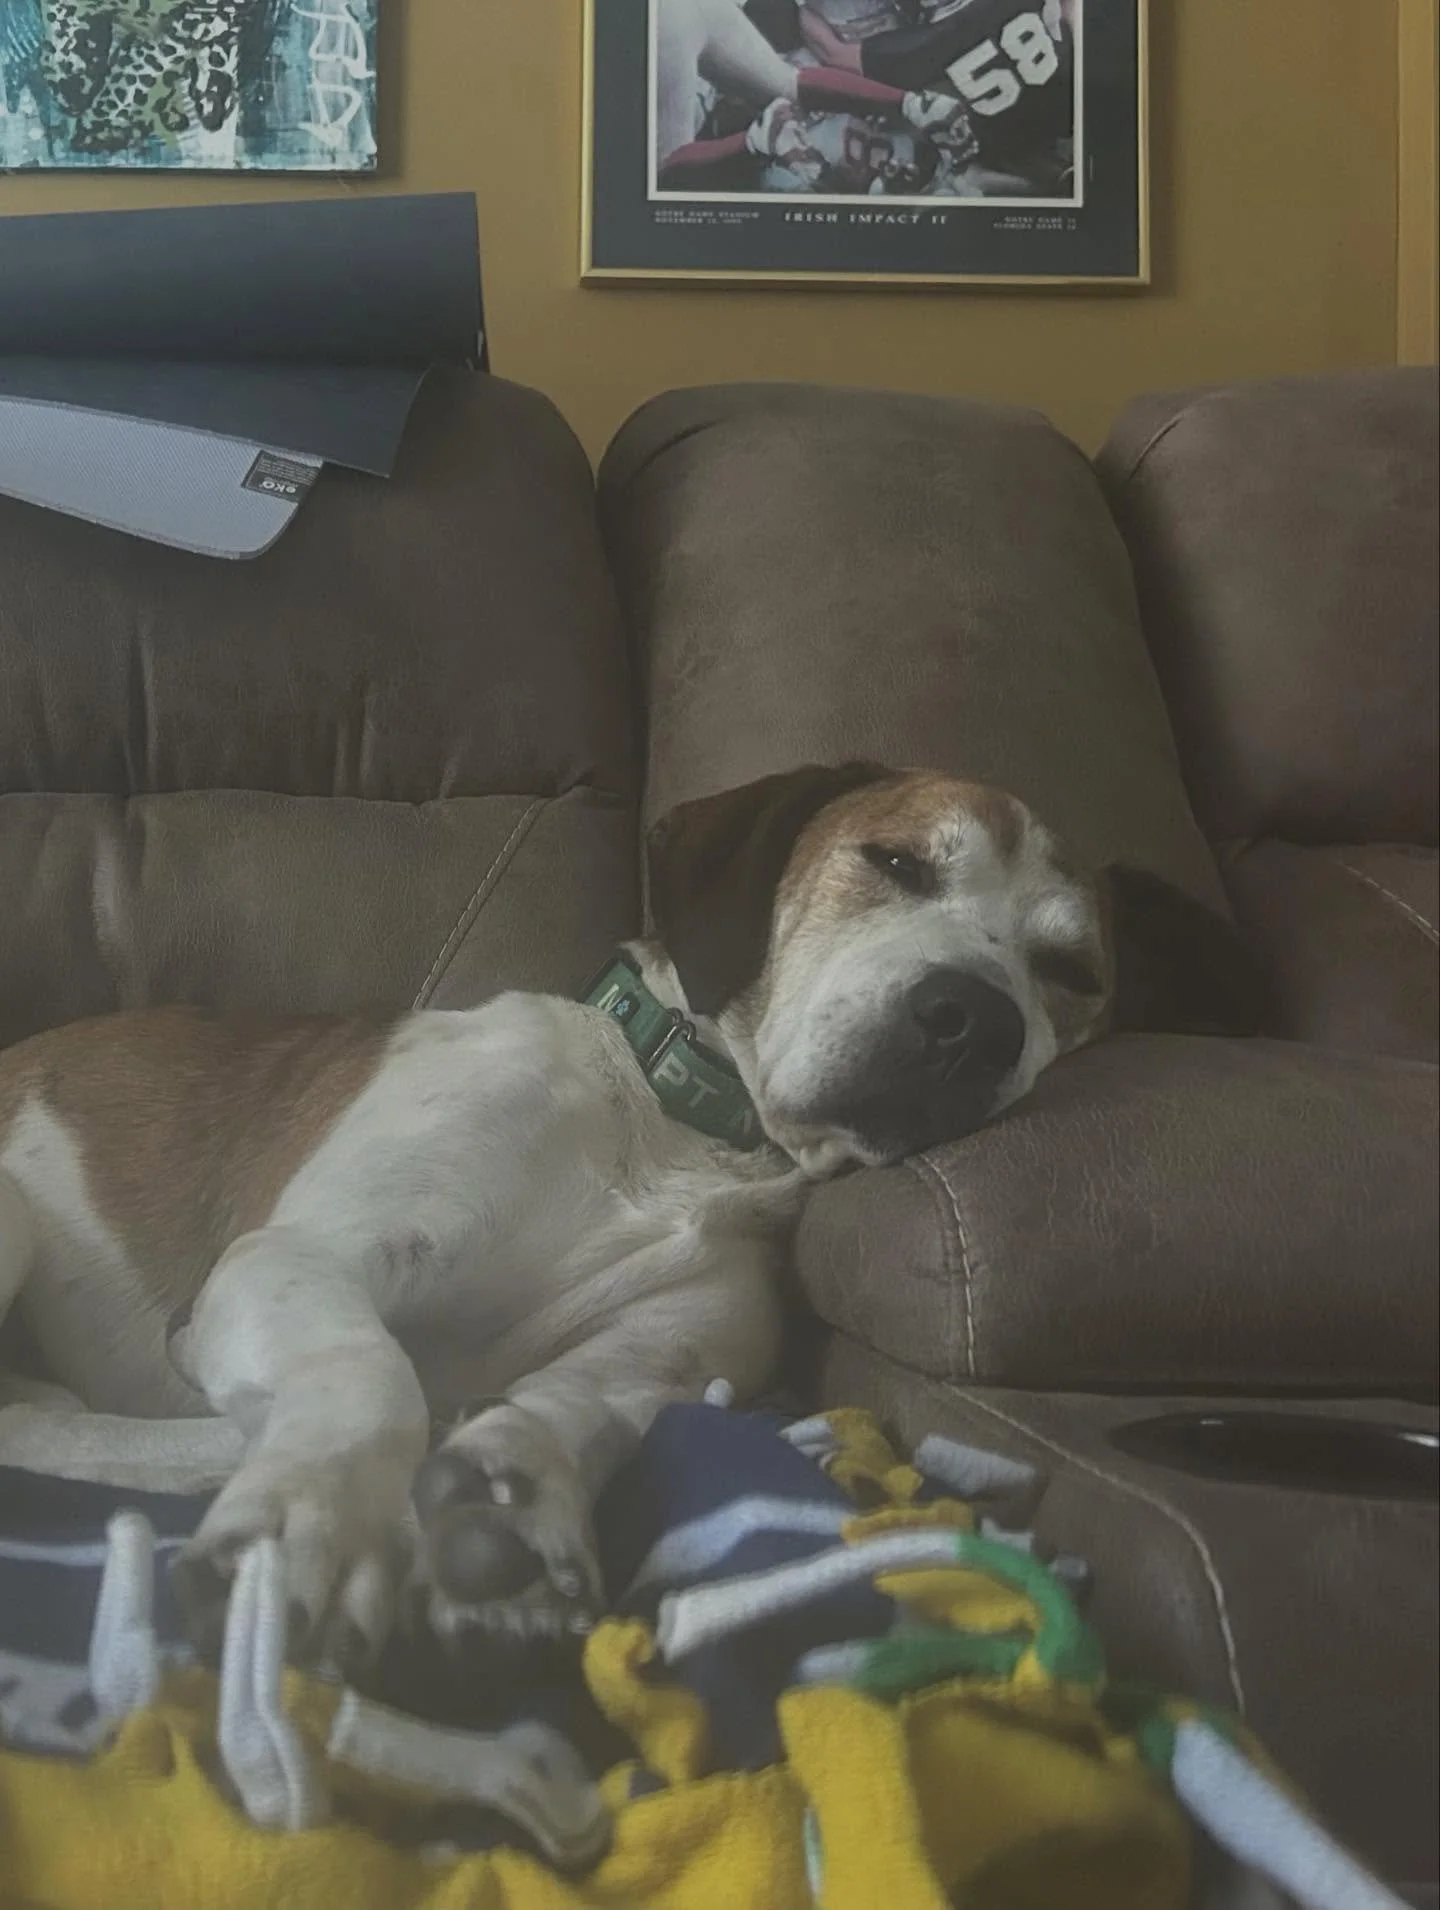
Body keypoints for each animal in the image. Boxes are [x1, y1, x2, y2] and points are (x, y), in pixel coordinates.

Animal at [0, 763, 1260, 1669]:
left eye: (1072, 971)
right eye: (895, 860)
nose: (974, 1019)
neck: (681, 1130)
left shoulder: (675, 1337)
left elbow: (587, 1399)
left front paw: (511, 1483)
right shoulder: (298, 1256)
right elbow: (366, 1374)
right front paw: (317, 1517)